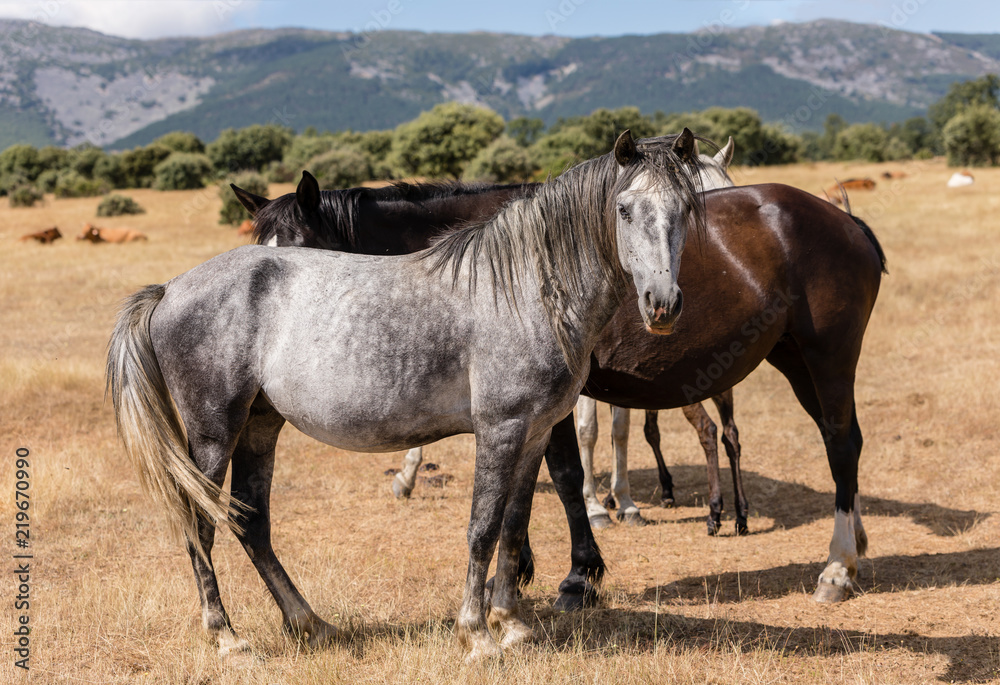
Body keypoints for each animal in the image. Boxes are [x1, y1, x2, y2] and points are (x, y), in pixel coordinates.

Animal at [105, 131, 708, 660]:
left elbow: (514, 525)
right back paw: (227, 637)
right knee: (200, 522)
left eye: (685, 208)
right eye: (624, 209)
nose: (661, 304)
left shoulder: (535, 433)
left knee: (251, 521)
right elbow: (483, 528)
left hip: (260, 425)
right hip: (213, 431)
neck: (521, 289)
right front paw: (478, 636)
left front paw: (513, 625)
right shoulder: (501, 429)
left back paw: (310, 623)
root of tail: (170, 290)